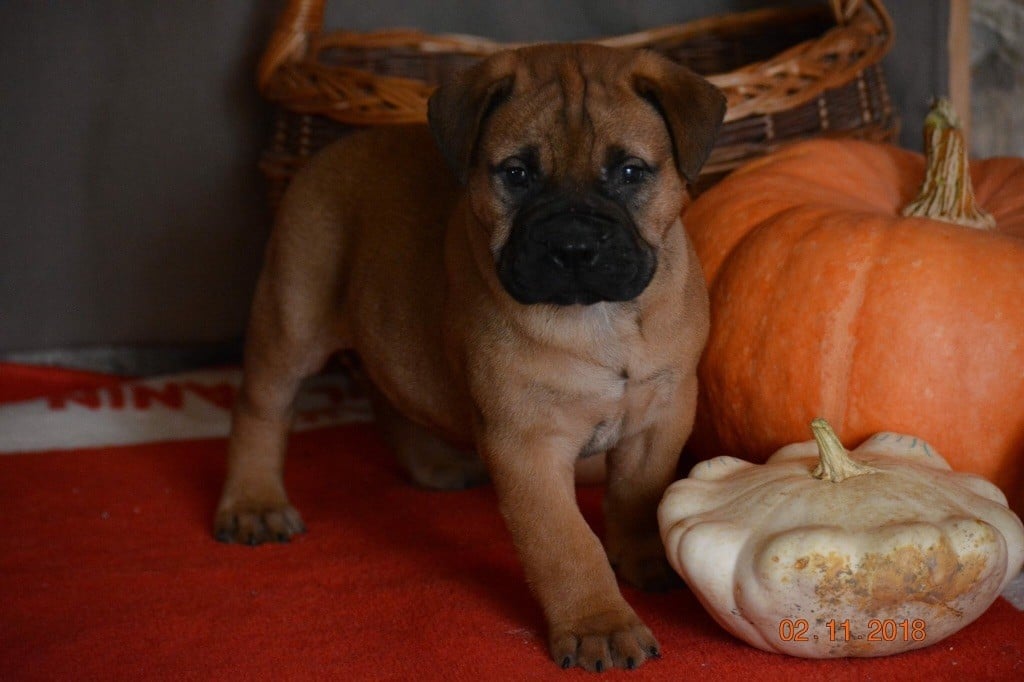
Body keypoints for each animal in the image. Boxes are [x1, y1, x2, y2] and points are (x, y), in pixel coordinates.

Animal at [217, 42, 729, 667]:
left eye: (630, 172)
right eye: (517, 174)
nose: (574, 247)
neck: (598, 317)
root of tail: (332, 150)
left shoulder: (660, 419)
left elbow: (637, 496)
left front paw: (644, 557)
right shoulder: (527, 445)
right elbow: (565, 543)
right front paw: (600, 623)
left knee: (388, 394)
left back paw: (432, 464)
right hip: (291, 316)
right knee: (260, 410)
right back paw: (254, 503)